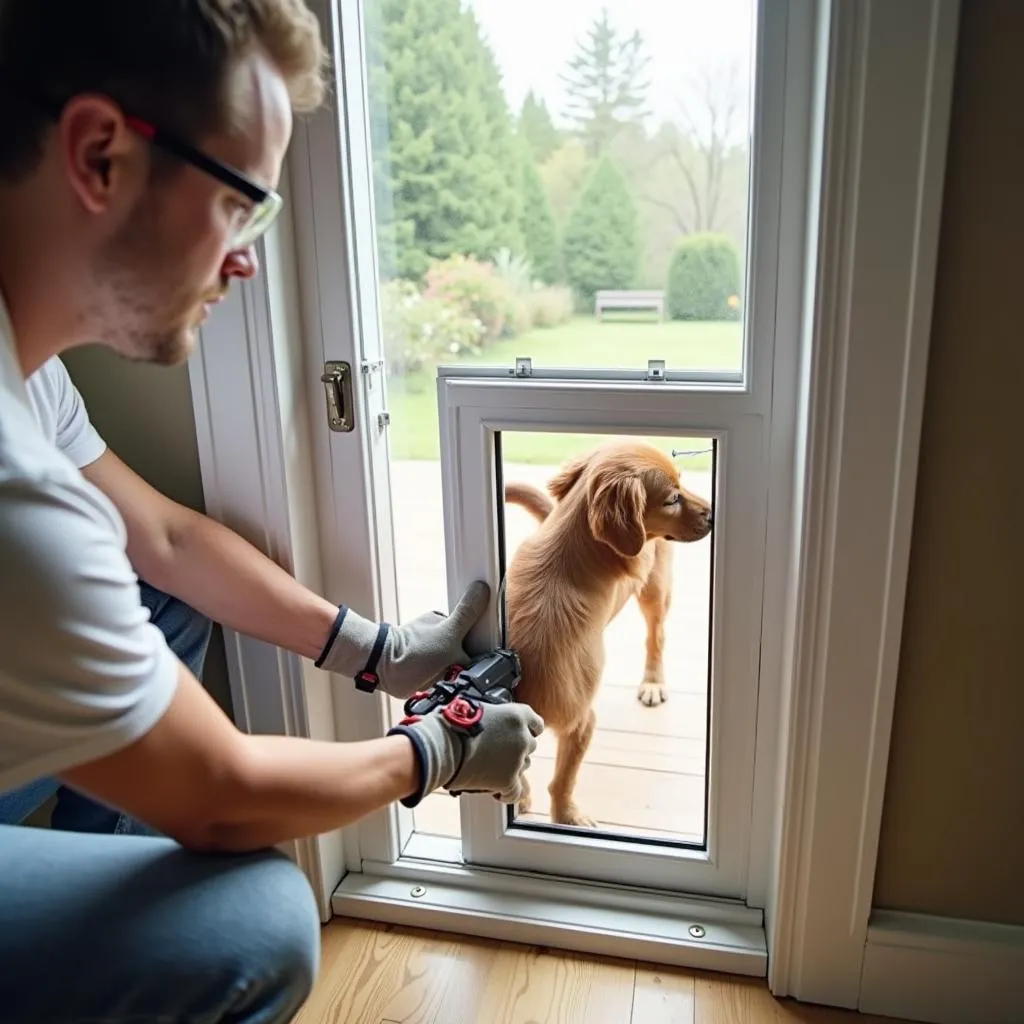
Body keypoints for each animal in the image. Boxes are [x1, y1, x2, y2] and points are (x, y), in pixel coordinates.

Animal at [503, 436, 712, 827]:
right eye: (672, 499)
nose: (712, 512)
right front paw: (522, 799)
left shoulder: (581, 721)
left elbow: (562, 782)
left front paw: (566, 816)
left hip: (655, 590)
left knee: (656, 637)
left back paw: (653, 682)